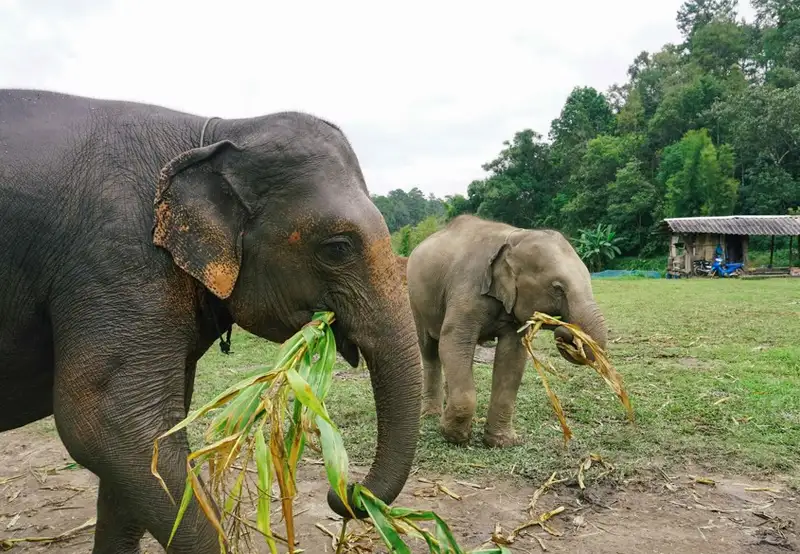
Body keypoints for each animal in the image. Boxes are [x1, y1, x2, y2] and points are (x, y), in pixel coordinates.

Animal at [0, 89, 422, 553]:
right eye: (338, 248)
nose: (346, 493)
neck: (216, 133)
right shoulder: (115, 255)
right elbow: (108, 421)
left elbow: (144, 444)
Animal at [405, 214, 608, 448]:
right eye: (557, 288)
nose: (564, 332)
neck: (514, 237)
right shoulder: (466, 289)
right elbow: (454, 341)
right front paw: (455, 437)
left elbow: (512, 356)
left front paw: (502, 442)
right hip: (416, 301)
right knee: (430, 349)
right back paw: (430, 414)